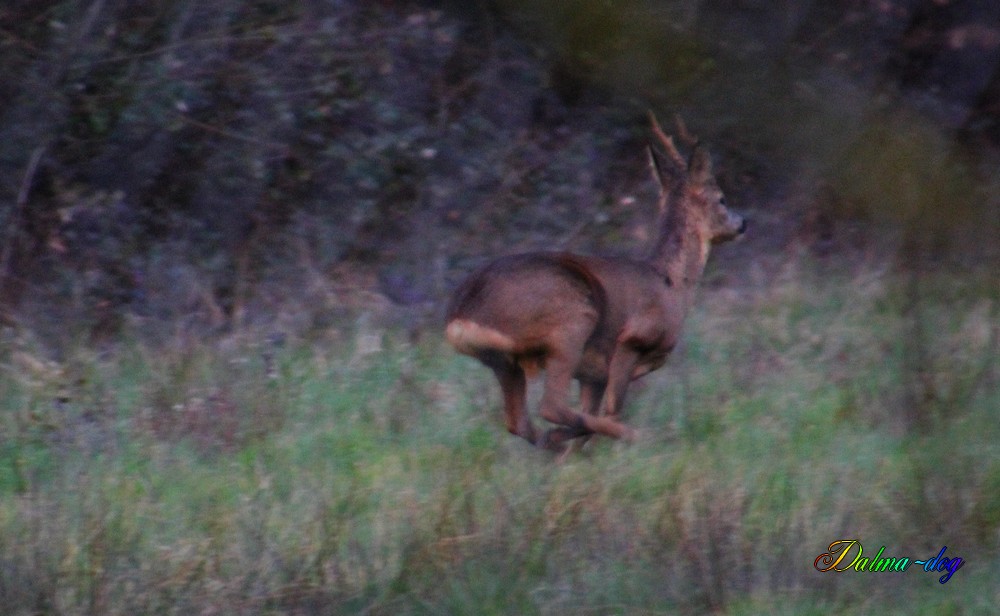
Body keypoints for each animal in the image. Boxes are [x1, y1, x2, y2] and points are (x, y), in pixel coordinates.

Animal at [444, 114, 744, 452]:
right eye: (722, 199)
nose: (742, 223)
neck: (671, 283)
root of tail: (461, 314)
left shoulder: (592, 375)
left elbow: (590, 414)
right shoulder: (634, 337)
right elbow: (611, 408)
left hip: (504, 361)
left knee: (519, 422)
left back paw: (553, 444)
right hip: (572, 321)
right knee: (551, 406)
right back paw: (633, 435)